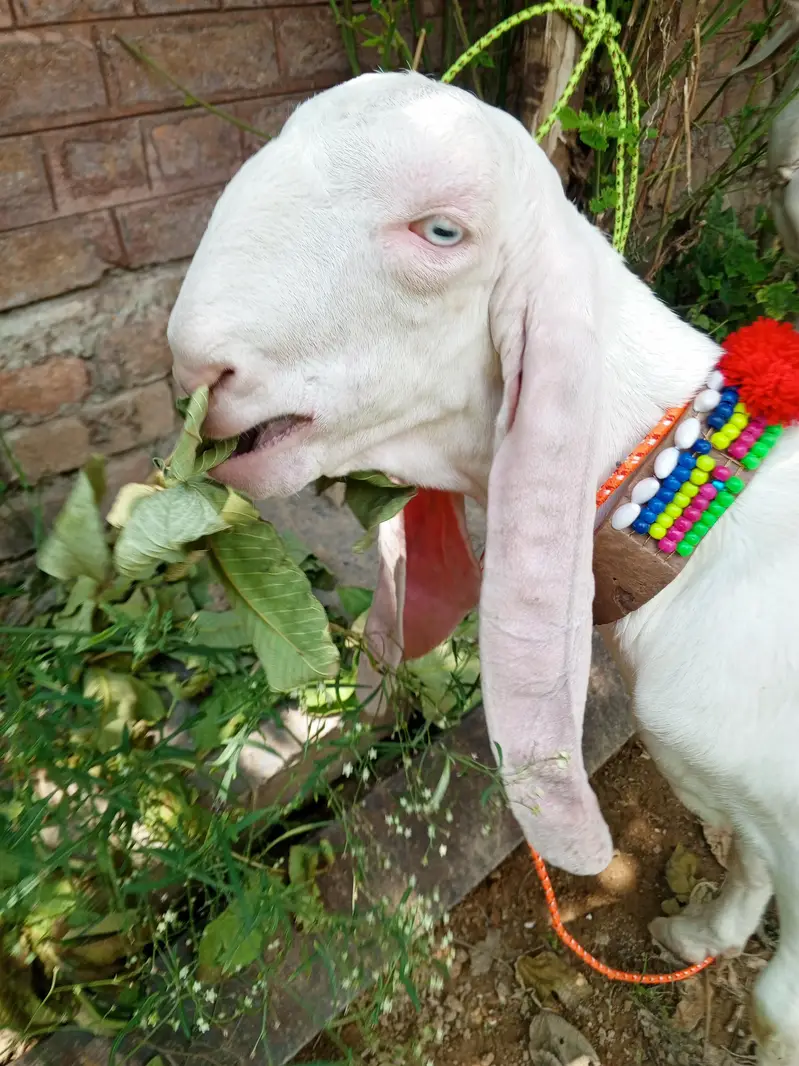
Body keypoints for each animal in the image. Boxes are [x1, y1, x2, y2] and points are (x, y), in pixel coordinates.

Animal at [168, 72, 799, 1065]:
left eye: (441, 232)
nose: (198, 367)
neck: (706, 552)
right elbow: (743, 857)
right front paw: (701, 934)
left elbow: (777, 1004)